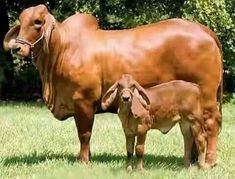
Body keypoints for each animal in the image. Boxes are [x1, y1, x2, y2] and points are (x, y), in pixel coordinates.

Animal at [4, 4, 223, 169]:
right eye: (21, 22)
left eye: (37, 22)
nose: (17, 48)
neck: (63, 48)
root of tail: (203, 30)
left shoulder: (83, 100)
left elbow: (84, 133)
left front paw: (83, 161)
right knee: (192, 130)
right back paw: (192, 161)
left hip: (207, 97)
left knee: (211, 124)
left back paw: (209, 162)